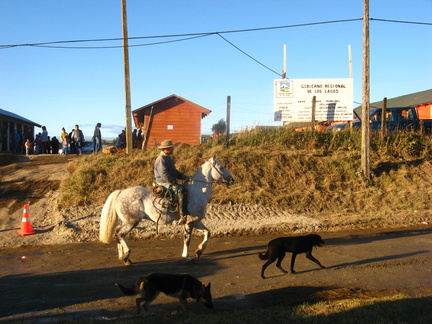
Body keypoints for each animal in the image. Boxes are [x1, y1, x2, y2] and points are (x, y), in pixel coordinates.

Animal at [98, 156, 233, 264]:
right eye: (221, 167)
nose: (232, 179)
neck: (197, 192)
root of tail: (120, 192)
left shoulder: (196, 221)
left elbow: (207, 233)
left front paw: (199, 250)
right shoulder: (188, 223)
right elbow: (187, 239)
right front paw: (186, 256)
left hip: (126, 221)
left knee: (117, 232)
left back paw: (122, 256)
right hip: (131, 222)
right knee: (120, 234)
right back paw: (126, 256)